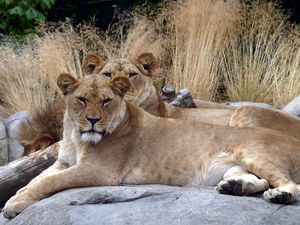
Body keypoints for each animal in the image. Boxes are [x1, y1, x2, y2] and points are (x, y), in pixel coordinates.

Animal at [4, 74, 300, 219]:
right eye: (81, 99)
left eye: (106, 101)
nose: (93, 120)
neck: (76, 137)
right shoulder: (63, 162)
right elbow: (33, 180)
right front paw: (14, 197)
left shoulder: (99, 170)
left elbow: (47, 183)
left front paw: (15, 205)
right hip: (234, 165)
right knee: (259, 180)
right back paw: (235, 187)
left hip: (251, 150)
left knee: (290, 184)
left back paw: (278, 196)